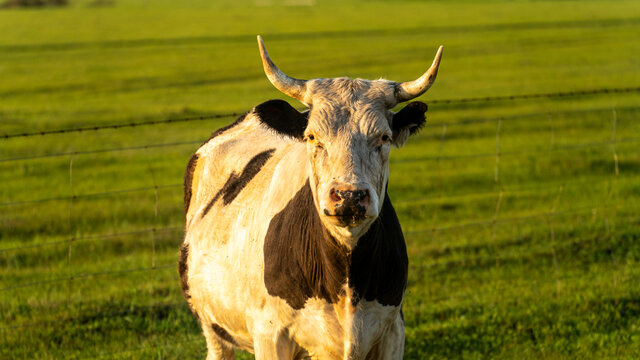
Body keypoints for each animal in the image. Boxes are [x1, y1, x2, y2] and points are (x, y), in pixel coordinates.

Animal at [178, 35, 442, 360]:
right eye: (312, 137)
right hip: (213, 330)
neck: (346, 278)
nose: (349, 196)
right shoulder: (270, 335)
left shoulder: (393, 331)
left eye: (383, 137)